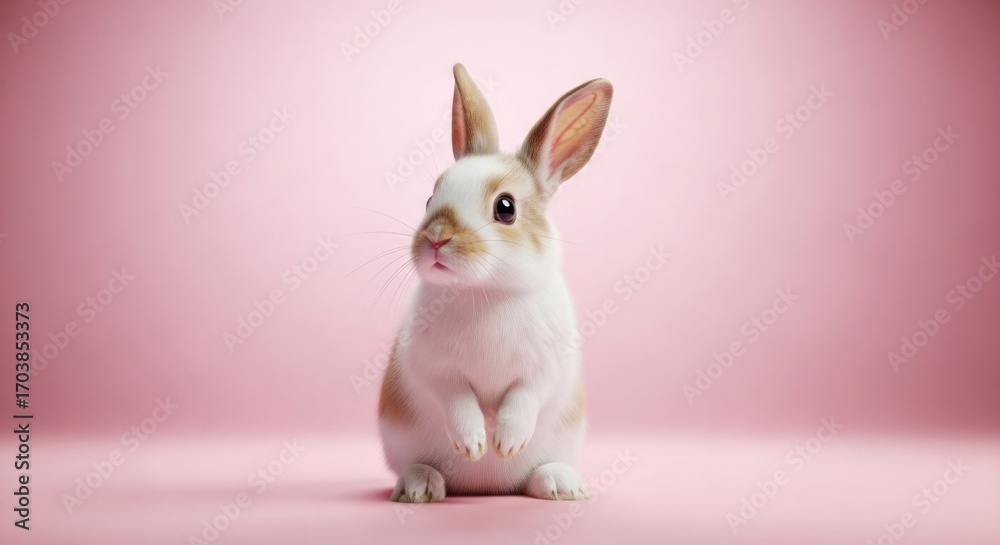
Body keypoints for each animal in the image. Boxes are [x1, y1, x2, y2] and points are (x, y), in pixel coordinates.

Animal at [378, 63, 613, 502]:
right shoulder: (432, 368)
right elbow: (455, 397)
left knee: (535, 477)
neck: (485, 291)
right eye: (429, 199)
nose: (436, 237)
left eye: (505, 208)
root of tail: (486, 488)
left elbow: (525, 396)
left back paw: (560, 485)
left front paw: (505, 441)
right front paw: (474, 443)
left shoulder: (545, 369)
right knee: (422, 469)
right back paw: (420, 486)